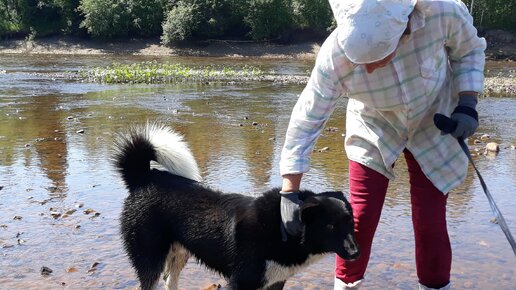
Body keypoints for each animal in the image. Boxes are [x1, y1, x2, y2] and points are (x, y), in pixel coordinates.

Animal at [114, 123, 358, 288]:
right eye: (330, 227)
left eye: (351, 223)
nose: (356, 253)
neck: (280, 225)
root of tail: (144, 177)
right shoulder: (242, 282)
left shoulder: (275, 281)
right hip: (150, 259)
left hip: (179, 254)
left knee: (169, 280)